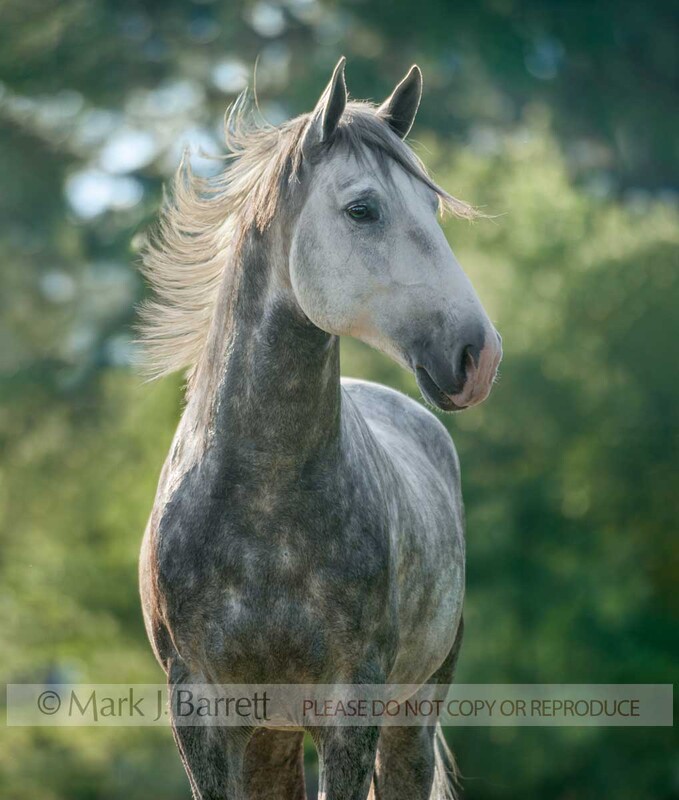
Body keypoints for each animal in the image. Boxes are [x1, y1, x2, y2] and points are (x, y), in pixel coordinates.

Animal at [139, 57, 502, 800]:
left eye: (433, 208)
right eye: (362, 208)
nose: (478, 358)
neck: (261, 504)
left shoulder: (349, 708)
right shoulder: (201, 714)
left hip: (411, 716)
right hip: (269, 737)